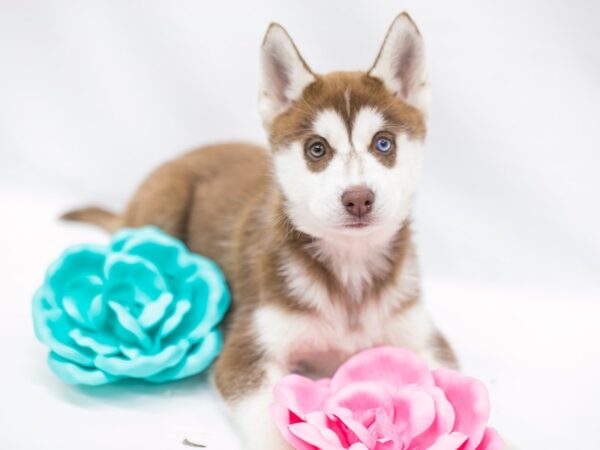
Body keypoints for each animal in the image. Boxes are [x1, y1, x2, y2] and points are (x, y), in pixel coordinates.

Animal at [64, 12, 460, 448]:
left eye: (384, 144)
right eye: (317, 149)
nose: (358, 199)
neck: (349, 269)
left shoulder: (424, 338)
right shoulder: (248, 352)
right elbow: (273, 427)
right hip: (163, 202)